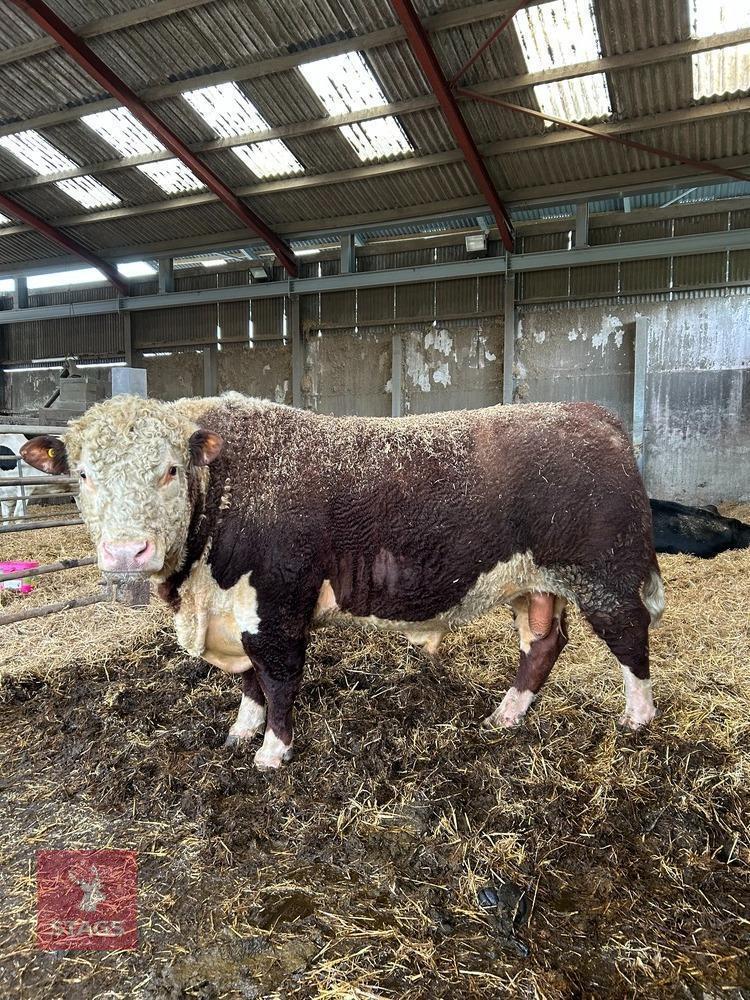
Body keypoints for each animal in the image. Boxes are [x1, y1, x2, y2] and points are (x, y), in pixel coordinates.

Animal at [21, 394, 665, 769]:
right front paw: (240, 731)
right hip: (534, 583)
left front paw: (273, 751)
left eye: (170, 470)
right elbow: (250, 682)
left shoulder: (278, 602)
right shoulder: (240, 608)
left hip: (607, 574)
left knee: (630, 638)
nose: (126, 550)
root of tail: (589, 413)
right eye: (83, 474)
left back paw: (637, 718)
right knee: (543, 644)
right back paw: (506, 716)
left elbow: (278, 678)